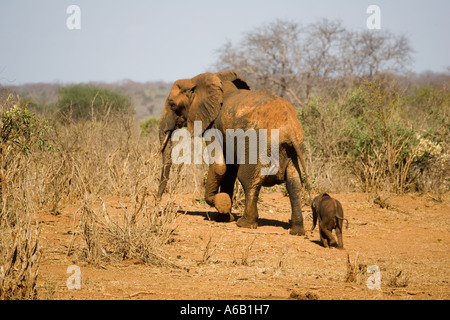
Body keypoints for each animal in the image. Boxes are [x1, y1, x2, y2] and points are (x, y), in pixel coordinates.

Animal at [156, 70, 308, 235]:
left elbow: (220, 167)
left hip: (258, 147)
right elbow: (228, 171)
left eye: (172, 104)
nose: (158, 208)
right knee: (294, 184)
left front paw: (221, 204)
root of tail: (289, 129)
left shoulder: (214, 126)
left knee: (249, 180)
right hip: (291, 151)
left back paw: (244, 224)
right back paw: (296, 231)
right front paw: (223, 217)